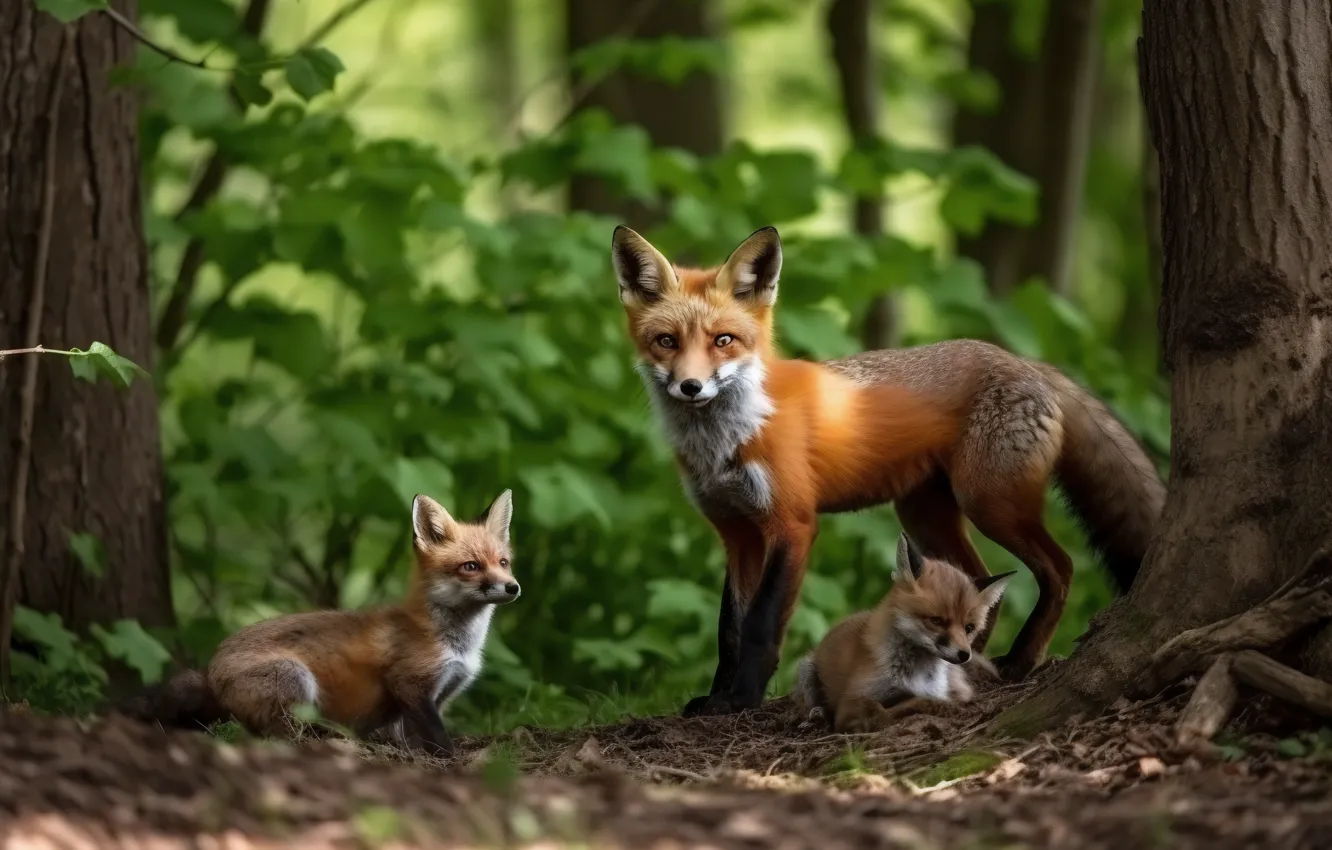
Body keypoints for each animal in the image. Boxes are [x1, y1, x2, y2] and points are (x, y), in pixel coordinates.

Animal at [115, 490, 519, 756]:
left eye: (503, 562)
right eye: (470, 566)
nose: (513, 587)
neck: (456, 643)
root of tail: (210, 669)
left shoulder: (440, 693)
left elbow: (409, 734)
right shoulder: (410, 685)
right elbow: (437, 737)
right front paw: (450, 759)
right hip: (295, 678)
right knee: (272, 735)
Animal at [793, 533, 1013, 733]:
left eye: (969, 628)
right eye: (936, 621)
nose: (964, 655)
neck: (917, 674)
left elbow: (919, 701)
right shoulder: (852, 699)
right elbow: (881, 709)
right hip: (806, 670)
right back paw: (817, 714)